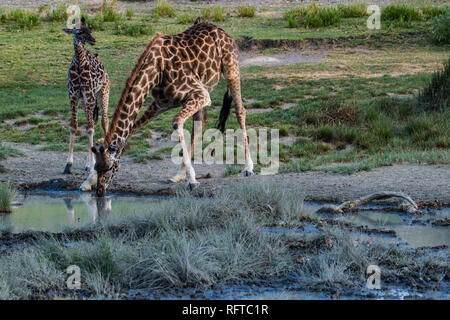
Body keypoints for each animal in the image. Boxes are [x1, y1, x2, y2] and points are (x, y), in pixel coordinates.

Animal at [62, 17, 110, 191]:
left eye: (90, 29)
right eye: (80, 32)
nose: (93, 40)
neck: (79, 65)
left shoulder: (88, 95)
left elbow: (89, 128)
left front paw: (91, 165)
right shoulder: (73, 96)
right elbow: (74, 126)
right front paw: (68, 164)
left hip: (102, 93)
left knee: (104, 120)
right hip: (85, 102)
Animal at [91, 20, 253, 198]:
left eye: (109, 167)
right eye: (96, 167)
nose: (100, 191)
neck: (156, 71)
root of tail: (221, 30)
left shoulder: (201, 94)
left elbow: (176, 122)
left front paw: (192, 181)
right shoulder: (162, 103)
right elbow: (132, 128)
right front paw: (87, 182)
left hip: (231, 69)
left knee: (240, 111)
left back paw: (248, 167)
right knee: (199, 124)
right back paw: (179, 174)